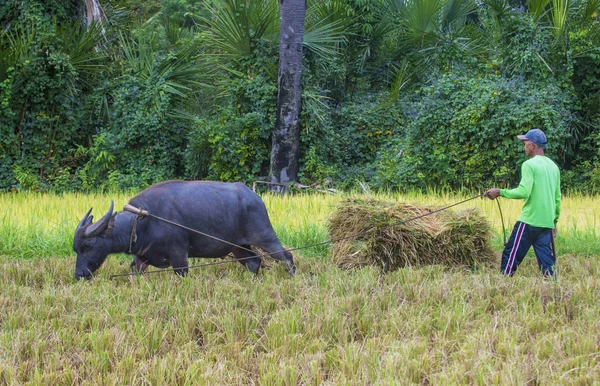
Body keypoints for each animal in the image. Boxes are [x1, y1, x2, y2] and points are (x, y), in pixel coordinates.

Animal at [72, 179, 296, 278]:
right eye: (75, 248)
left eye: (88, 245)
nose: (79, 274)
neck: (142, 222)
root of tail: (255, 197)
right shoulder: (142, 257)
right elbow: (136, 269)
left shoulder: (179, 254)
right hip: (238, 246)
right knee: (253, 261)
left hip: (265, 236)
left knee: (286, 256)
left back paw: (292, 275)